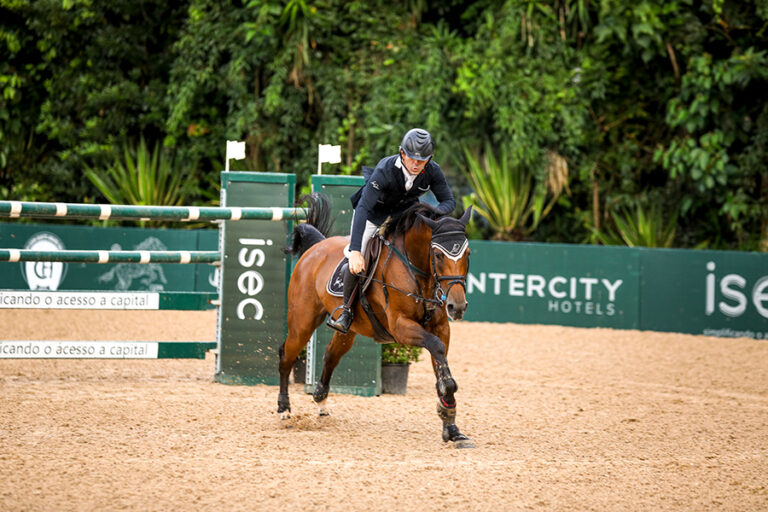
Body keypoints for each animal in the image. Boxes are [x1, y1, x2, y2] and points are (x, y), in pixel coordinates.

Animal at [276, 193, 474, 448]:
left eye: (467, 254)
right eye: (438, 255)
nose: (457, 307)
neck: (419, 273)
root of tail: (316, 247)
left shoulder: (440, 328)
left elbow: (440, 358)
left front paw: (452, 427)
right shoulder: (401, 327)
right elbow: (437, 350)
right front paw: (447, 396)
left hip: (348, 329)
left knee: (331, 355)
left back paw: (320, 400)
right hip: (302, 322)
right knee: (286, 355)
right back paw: (284, 409)